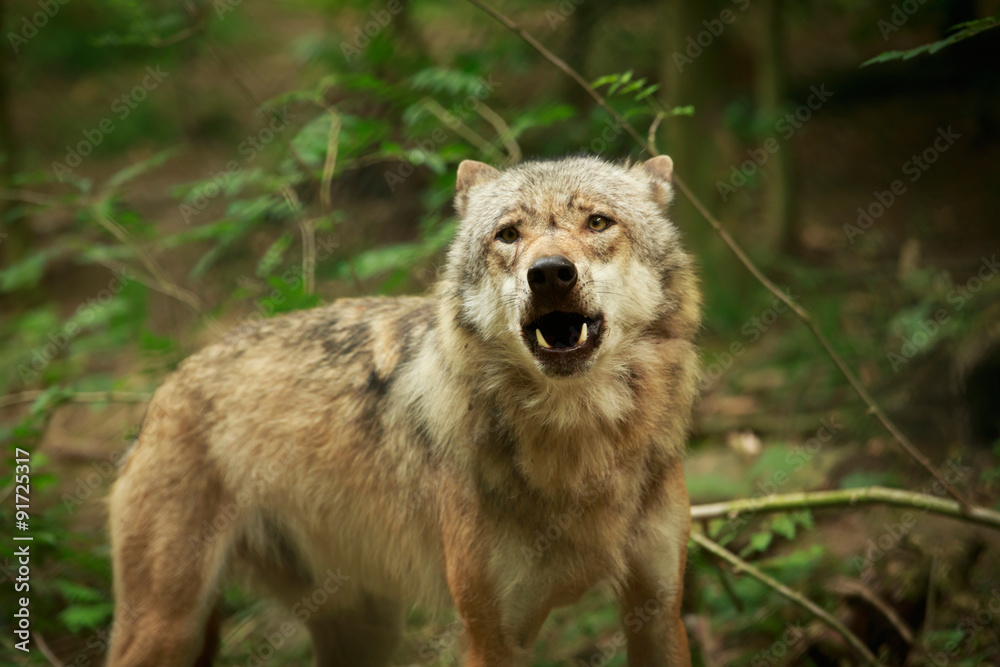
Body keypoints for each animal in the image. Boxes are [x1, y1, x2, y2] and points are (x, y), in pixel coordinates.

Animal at [107, 154, 701, 667]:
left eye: (598, 222)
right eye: (508, 234)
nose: (550, 272)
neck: (577, 441)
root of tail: (169, 384)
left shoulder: (658, 614)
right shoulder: (491, 638)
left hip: (365, 633)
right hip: (166, 630)